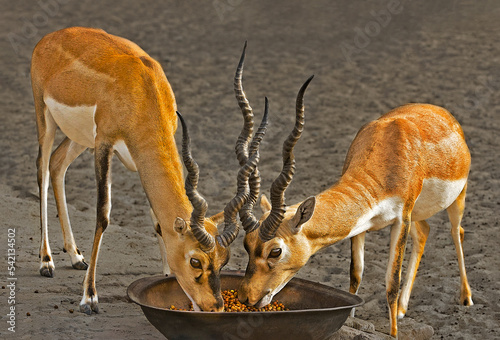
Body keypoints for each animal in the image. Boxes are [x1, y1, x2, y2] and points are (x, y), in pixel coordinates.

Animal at [29, 27, 268, 314]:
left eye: (224, 260)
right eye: (195, 261)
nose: (214, 307)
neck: (143, 89)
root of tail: (52, 36)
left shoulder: (142, 156)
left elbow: (157, 221)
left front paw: (166, 276)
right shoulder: (104, 144)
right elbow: (103, 215)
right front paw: (89, 297)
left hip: (79, 138)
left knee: (57, 165)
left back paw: (75, 256)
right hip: (46, 119)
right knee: (42, 168)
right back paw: (46, 261)